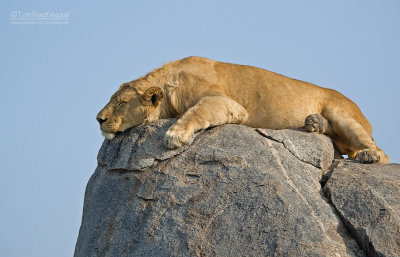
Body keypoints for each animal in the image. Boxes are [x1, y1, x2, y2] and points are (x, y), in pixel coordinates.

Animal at [95, 56, 390, 164]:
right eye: (113, 99)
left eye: (121, 103)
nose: (99, 119)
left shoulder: (228, 103)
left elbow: (196, 111)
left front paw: (175, 135)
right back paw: (314, 124)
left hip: (341, 112)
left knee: (379, 151)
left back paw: (370, 156)